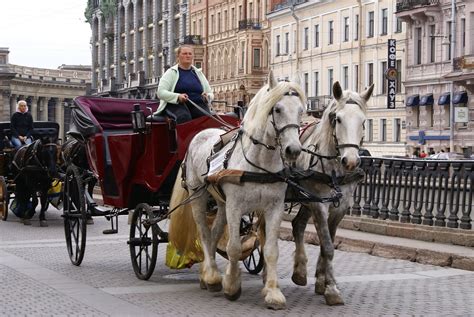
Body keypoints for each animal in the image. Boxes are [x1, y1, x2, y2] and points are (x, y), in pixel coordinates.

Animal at [183, 71, 306, 308]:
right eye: (277, 109)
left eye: (300, 110)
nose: (293, 150)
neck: (259, 164)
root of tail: (203, 132)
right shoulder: (235, 206)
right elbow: (234, 247)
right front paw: (231, 286)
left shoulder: (274, 208)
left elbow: (271, 250)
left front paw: (273, 292)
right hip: (198, 196)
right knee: (204, 232)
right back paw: (212, 276)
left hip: (221, 203)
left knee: (214, 233)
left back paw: (207, 274)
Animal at [290, 81, 372, 304]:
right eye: (338, 118)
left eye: (363, 121)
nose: (350, 161)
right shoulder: (319, 204)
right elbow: (327, 245)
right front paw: (332, 289)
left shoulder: (340, 206)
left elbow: (327, 242)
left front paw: (323, 282)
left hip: (305, 199)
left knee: (297, 224)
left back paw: (300, 272)